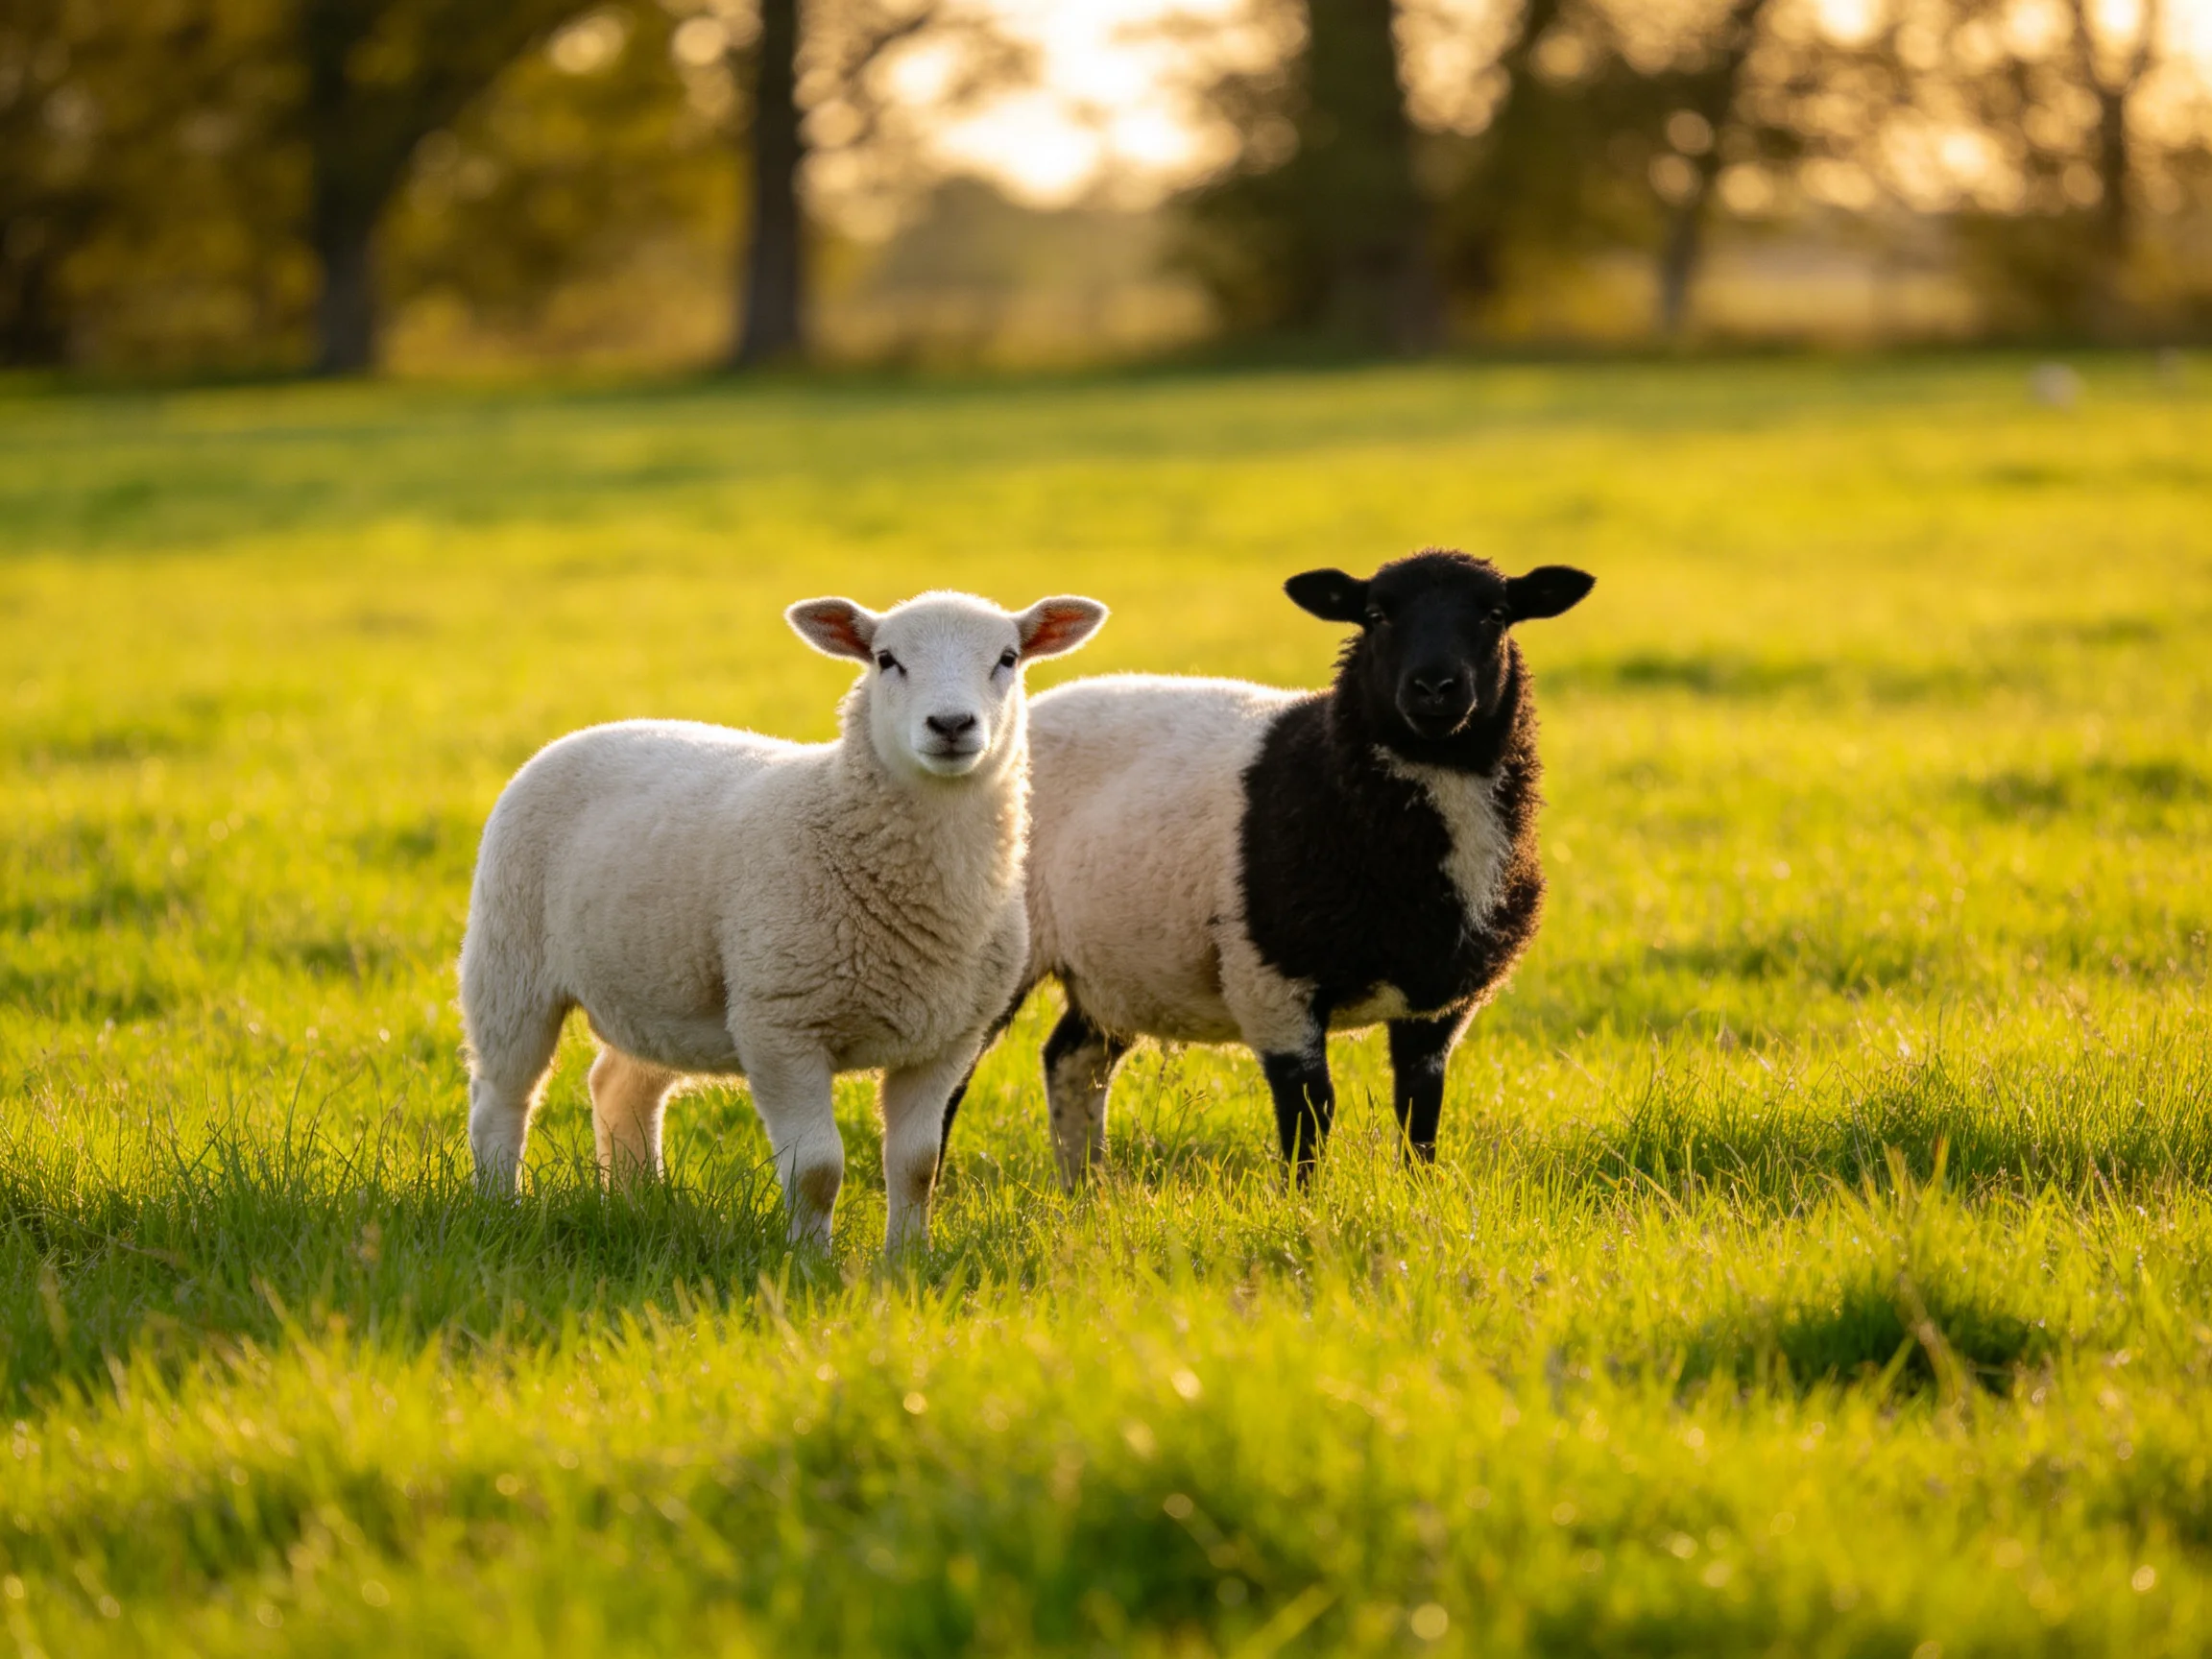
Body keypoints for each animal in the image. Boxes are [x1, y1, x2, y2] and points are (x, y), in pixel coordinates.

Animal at [458, 589, 1108, 1251]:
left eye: (1007, 658)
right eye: (886, 659)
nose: (951, 725)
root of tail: (588, 732)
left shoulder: (945, 1041)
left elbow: (917, 1165)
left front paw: (907, 1258)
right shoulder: (781, 1027)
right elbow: (818, 1169)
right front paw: (811, 1260)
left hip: (656, 993)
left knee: (619, 1086)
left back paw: (638, 1205)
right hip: (509, 962)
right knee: (501, 1098)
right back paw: (499, 1208)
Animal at [958, 549, 1591, 1184]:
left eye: (1496, 614)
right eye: (1376, 615)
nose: (1435, 687)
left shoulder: (1439, 1003)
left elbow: (1420, 1110)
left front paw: (1418, 1192)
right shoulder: (1270, 980)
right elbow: (1311, 1109)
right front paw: (1304, 1201)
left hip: (1114, 970)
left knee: (1071, 1062)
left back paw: (1086, 1191)